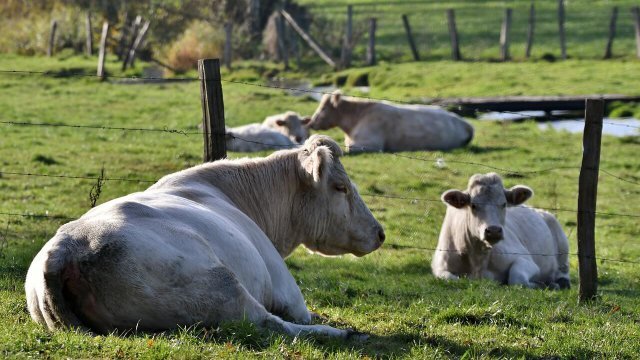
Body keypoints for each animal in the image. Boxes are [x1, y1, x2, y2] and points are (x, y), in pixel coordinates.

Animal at [25, 135, 384, 338]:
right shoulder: (288, 292)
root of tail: (65, 248)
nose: (379, 233)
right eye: (341, 187)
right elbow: (298, 314)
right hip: (221, 286)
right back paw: (338, 332)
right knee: (269, 324)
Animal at [430, 172, 568, 290]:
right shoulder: (439, 267)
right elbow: (452, 279)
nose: (494, 230)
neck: (478, 260)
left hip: (562, 245)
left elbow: (517, 278)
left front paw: (543, 285)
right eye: (473, 205)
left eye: (504, 204)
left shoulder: (526, 259)